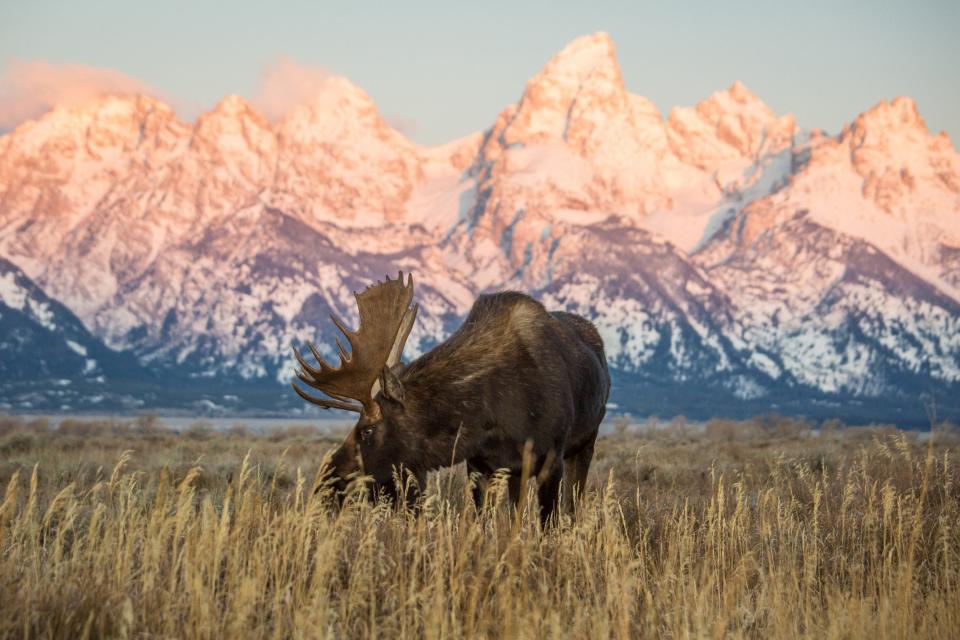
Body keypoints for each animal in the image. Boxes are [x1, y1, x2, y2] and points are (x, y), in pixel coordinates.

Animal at [288, 272, 612, 524]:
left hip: (585, 442)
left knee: (573, 505)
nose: (326, 482)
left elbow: (551, 525)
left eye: (367, 430)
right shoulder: (481, 465)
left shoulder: (550, 460)